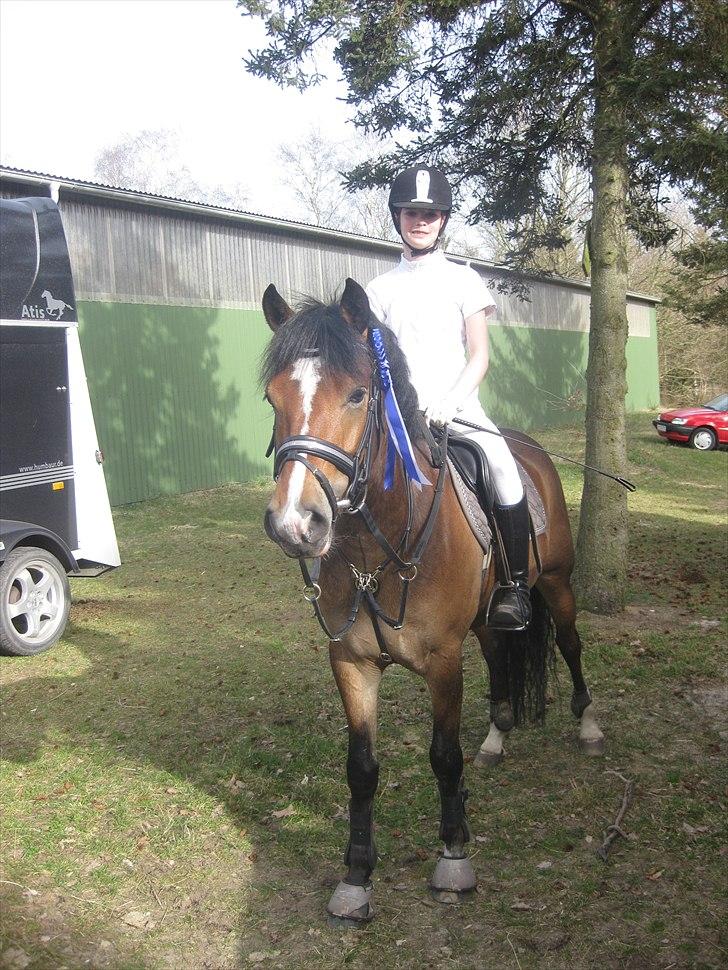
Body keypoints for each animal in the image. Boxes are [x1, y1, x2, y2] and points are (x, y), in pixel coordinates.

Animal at [260, 278, 604, 923]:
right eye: (272, 399)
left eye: (358, 395)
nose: (296, 523)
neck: (377, 548)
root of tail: (529, 448)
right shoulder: (351, 662)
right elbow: (361, 768)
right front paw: (356, 878)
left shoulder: (443, 660)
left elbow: (444, 756)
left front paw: (453, 858)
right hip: (489, 617)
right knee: (499, 655)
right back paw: (497, 735)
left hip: (558, 585)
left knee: (571, 645)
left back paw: (589, 725)